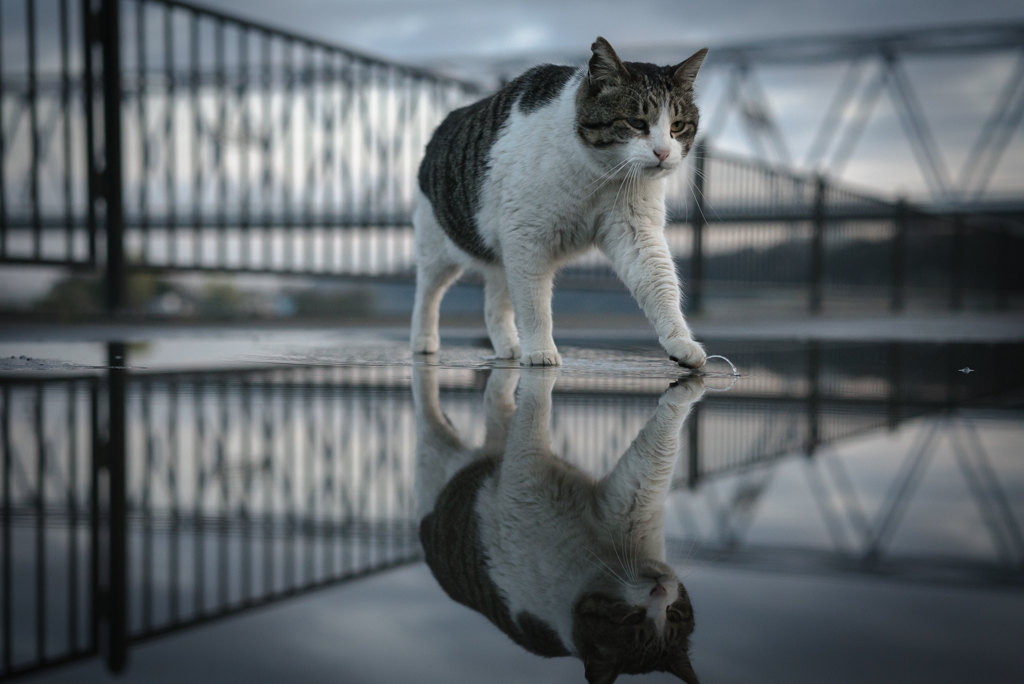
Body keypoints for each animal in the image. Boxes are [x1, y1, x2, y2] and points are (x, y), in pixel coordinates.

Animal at [411, 37, 708, 368]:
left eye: (678, 126)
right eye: (635, 122)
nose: (663, 153)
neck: (597, 174)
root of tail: (440, 127)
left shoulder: (635, 231)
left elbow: (660, 283)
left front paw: (681, 342)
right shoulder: (526, 239)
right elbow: (534, 305)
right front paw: (540, 351)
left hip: (501, 257)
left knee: (494, 304)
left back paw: (508, 348)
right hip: (438, 249)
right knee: (427, 293)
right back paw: (424, 342)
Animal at [413, 368, 704, 684]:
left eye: (673, 614)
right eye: (633, 618)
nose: (660, 590)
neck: (605, 556)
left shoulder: (623, 498)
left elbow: (656, 448)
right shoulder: (530, 472)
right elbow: (536, 405)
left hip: (474, 453)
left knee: (487, 408)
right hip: (444, 455)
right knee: (433, 401)